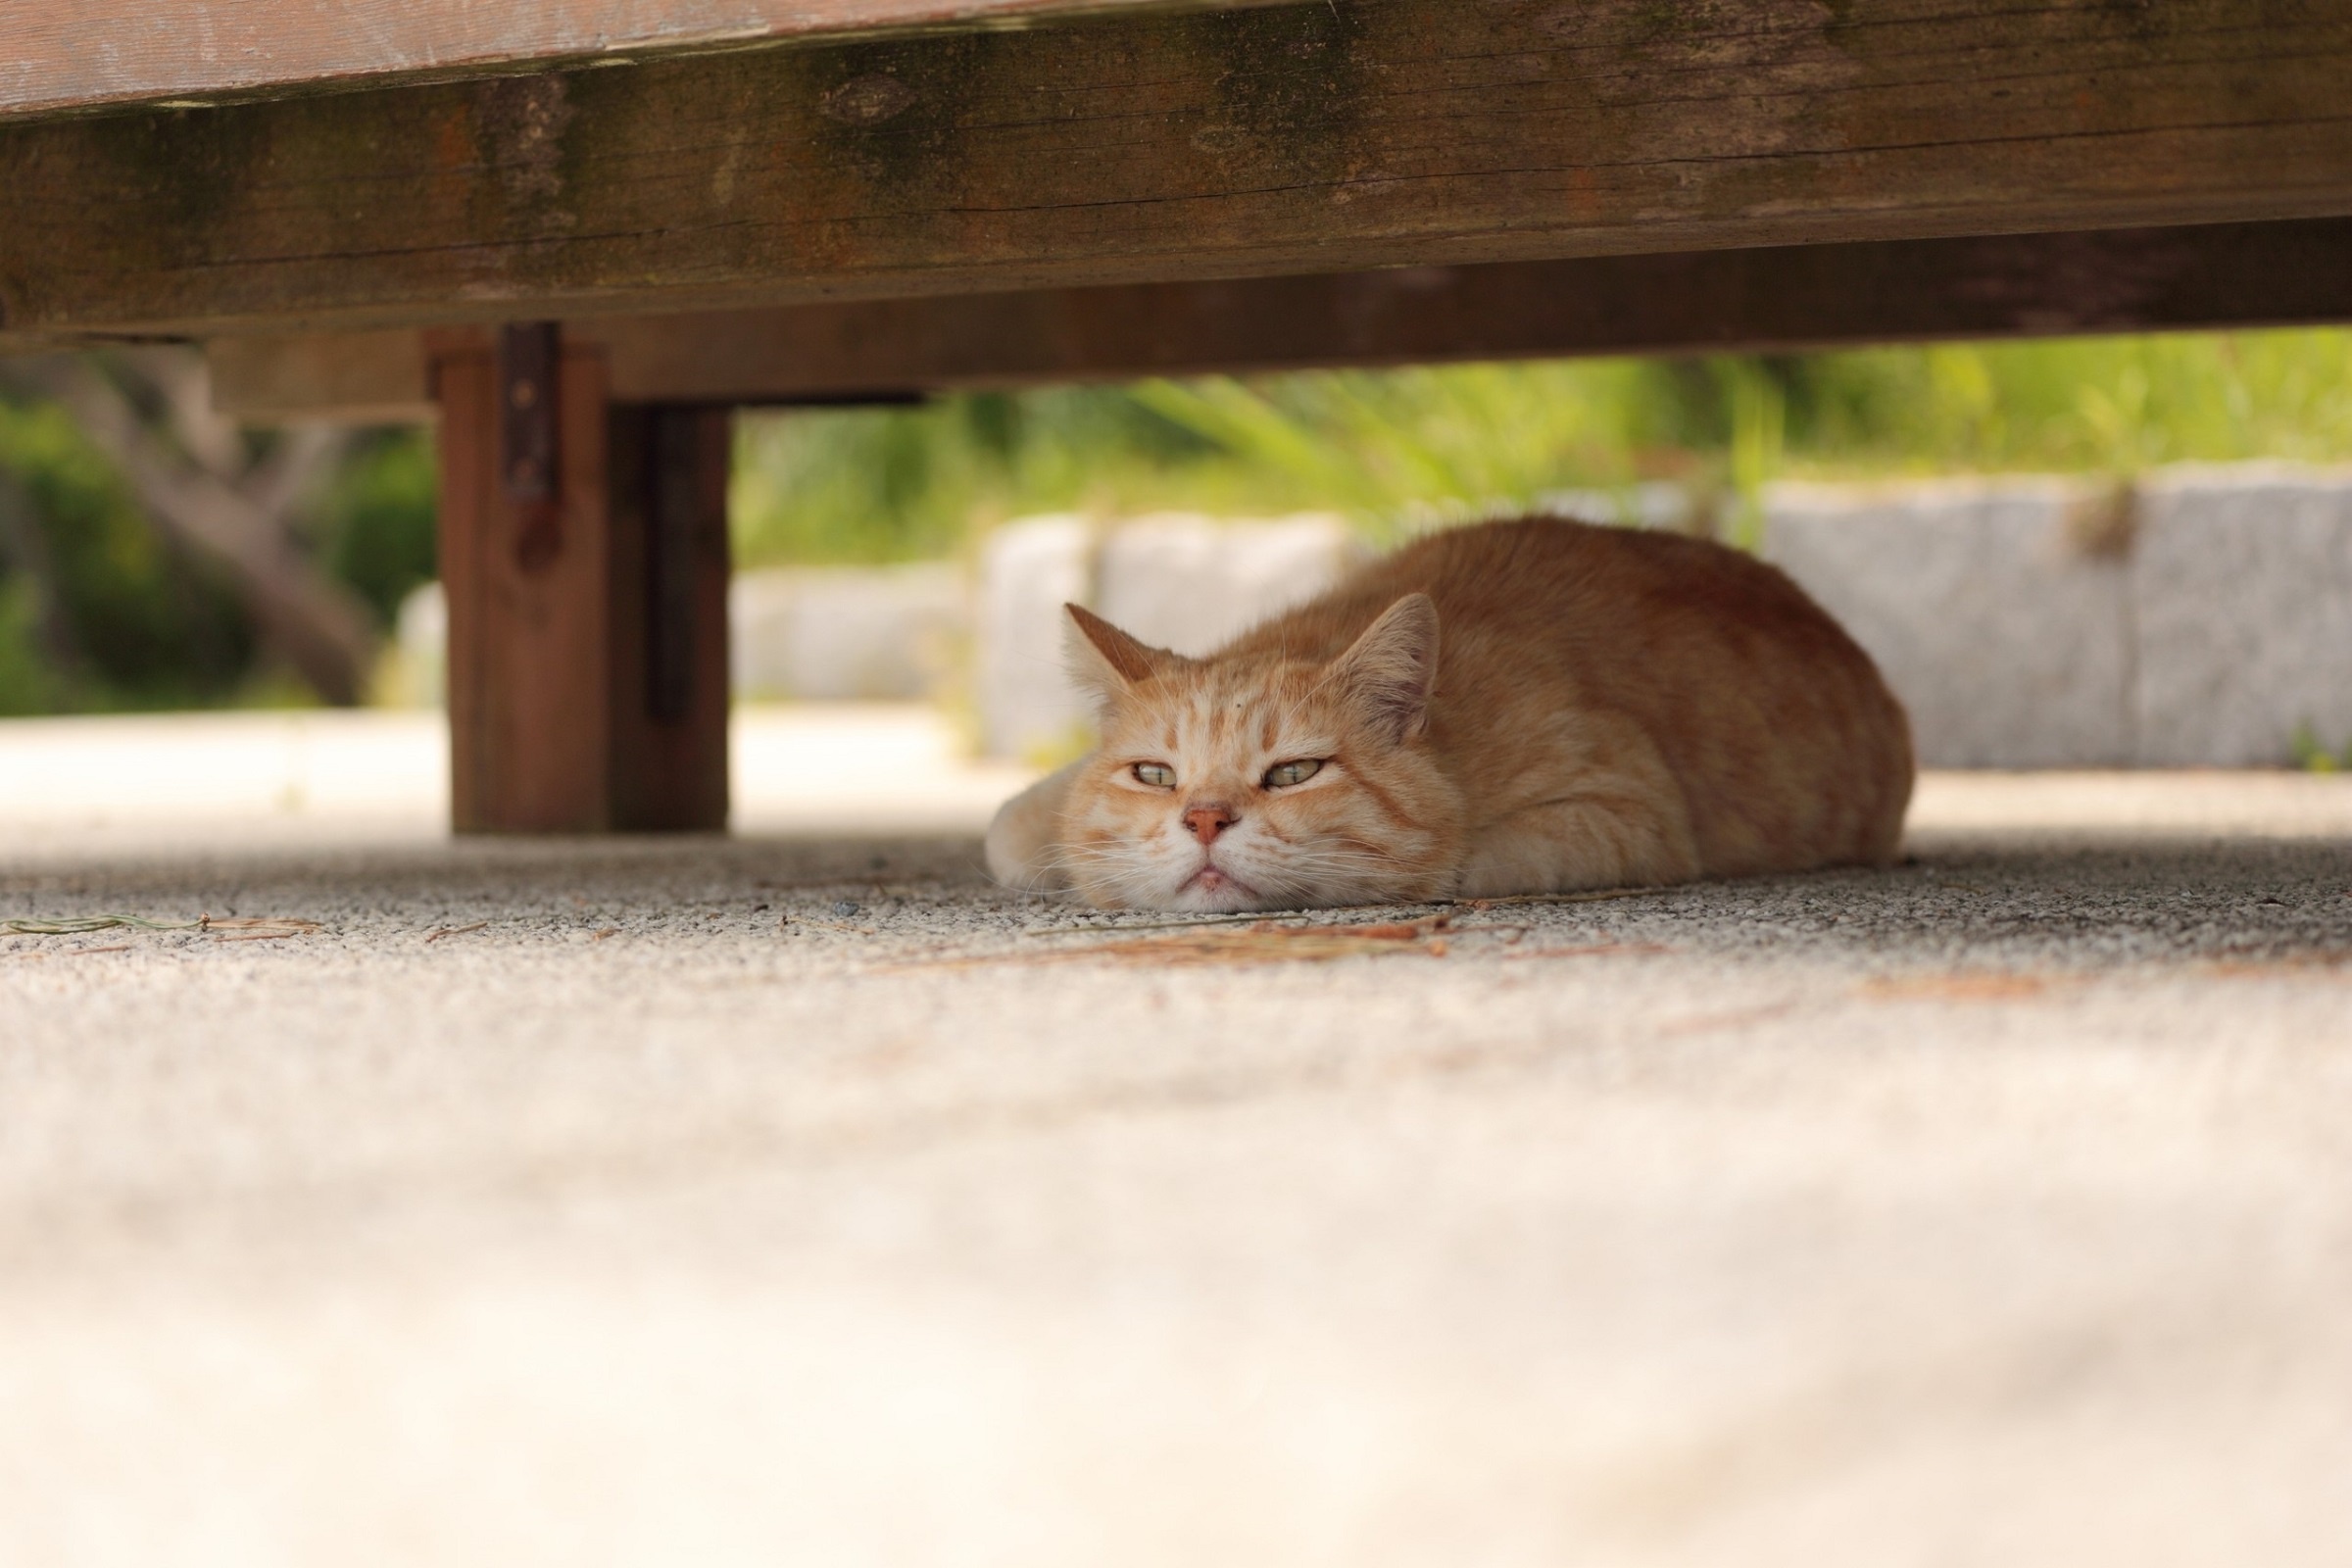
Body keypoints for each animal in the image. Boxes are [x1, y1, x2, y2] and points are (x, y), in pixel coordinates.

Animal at [983, 516, 1919, 906]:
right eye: (1154, 774)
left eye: (1294, 773)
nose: (1204, 820)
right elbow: (1013, 830)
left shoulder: (1629, 811)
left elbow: (1461, 859)